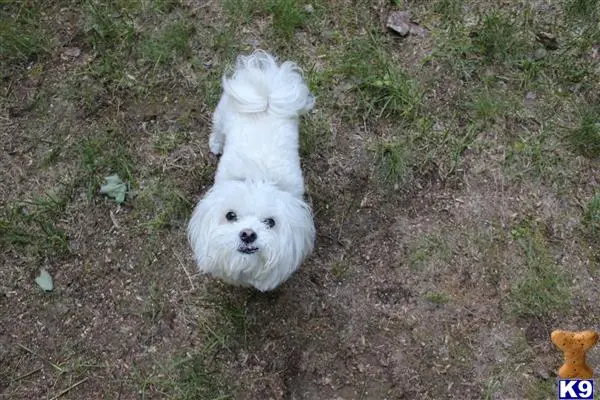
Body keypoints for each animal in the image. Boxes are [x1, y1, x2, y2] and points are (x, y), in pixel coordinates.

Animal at [189, 51, 318, 292]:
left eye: (270, 222)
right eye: (230, 216)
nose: (248, 234)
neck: (258, 176)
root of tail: (266, 96)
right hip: (222, 114)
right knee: (217, 129)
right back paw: (216, 144)